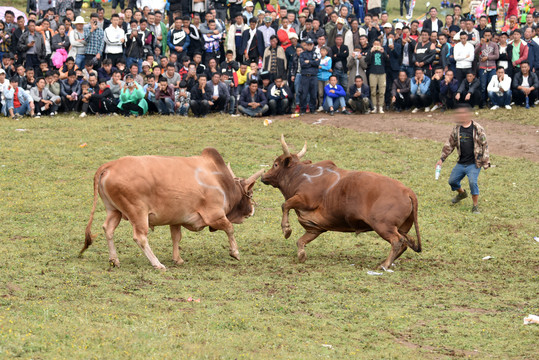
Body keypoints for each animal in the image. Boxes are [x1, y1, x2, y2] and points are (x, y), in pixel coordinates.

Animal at [81, 148, 264, 268]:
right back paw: (157, 263)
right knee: (140, 237)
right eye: (250, 192)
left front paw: (178, 259)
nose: (252, 210)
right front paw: (235, 252)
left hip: (114, 210)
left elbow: (176, 237)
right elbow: (229, 228)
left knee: (108, 229)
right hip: (138, 213)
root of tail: (110, 165)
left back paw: (114, 259)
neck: (220, 180)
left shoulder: (176, 219)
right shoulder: (215, 215)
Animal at [262, 135, 422, 270]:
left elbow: (285, 205)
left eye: (275, 164)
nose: (264, 176)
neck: (300, 175)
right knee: (406, 242)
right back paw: (384, 262)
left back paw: (385, 264)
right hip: (402, 227)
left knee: (397, 241)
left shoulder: (304, 199)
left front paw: (286, 229)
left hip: (383, 225)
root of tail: (407, 191)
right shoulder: (315, 227)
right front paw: (301, 254)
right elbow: (301, 240)